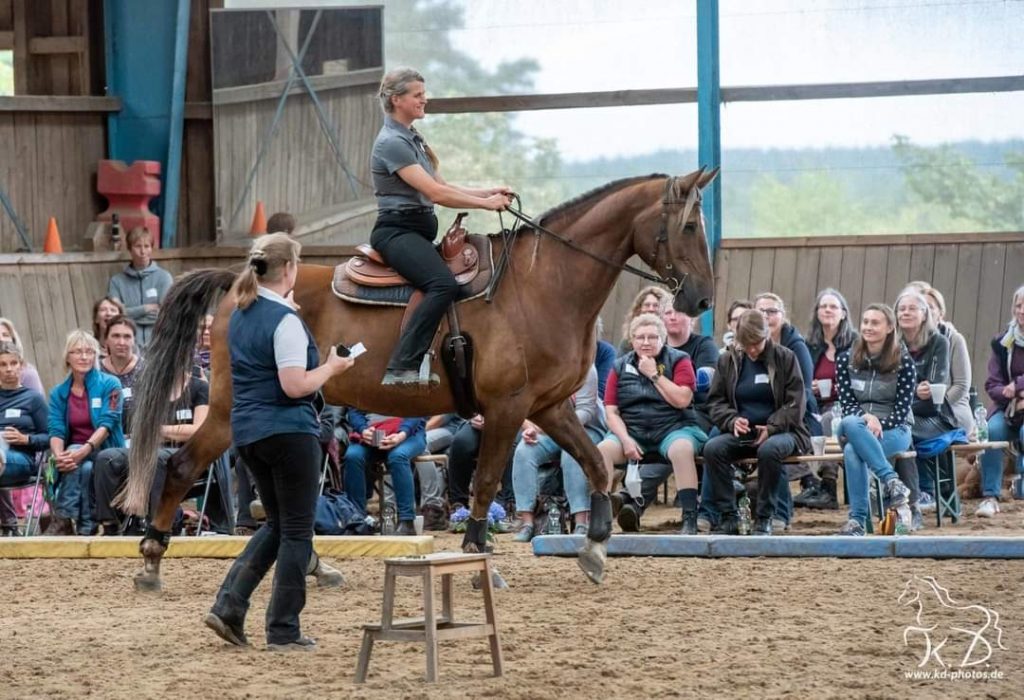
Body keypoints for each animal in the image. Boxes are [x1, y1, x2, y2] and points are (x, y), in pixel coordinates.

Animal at [117, 169, 712, 589]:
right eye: (687, 226)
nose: (702, 298)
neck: (541, 285)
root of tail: (242, 283)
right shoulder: (507, 408)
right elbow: (485, 483)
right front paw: (479, 557)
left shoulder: (548, 407)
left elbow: (594, 464)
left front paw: (593, 549)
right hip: (229, 409)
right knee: (186, 468)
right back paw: (150, 560)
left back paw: (310, 565)